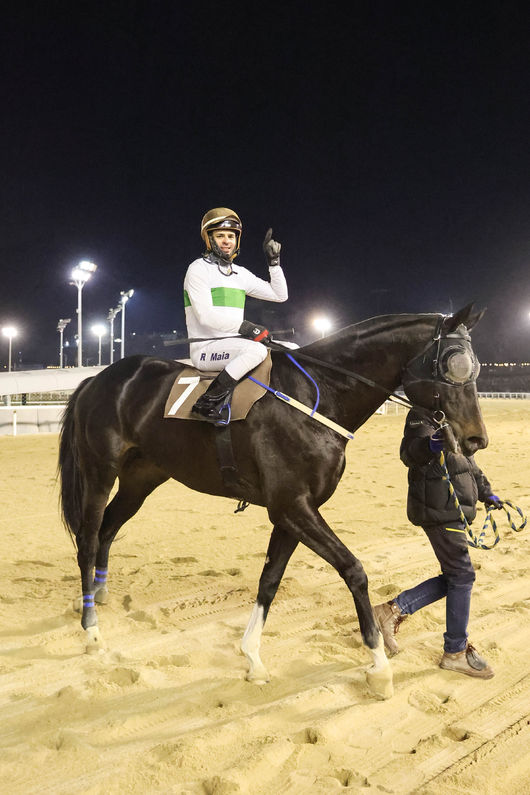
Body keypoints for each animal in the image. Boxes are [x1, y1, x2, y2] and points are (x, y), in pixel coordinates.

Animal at [58, 304, 486, 696]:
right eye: (453, 364)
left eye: (476, 367)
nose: (476, 438)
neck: (316, 396)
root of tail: (97, 378)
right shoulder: (292, 505)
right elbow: (354, 570)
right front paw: (379, 666)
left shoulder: (291, 513)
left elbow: (269, 580)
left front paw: (253, 658)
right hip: (99, 471)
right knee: (88, 538)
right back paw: (91, 631)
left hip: (142, 478)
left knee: (109, 528)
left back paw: (97, 594)